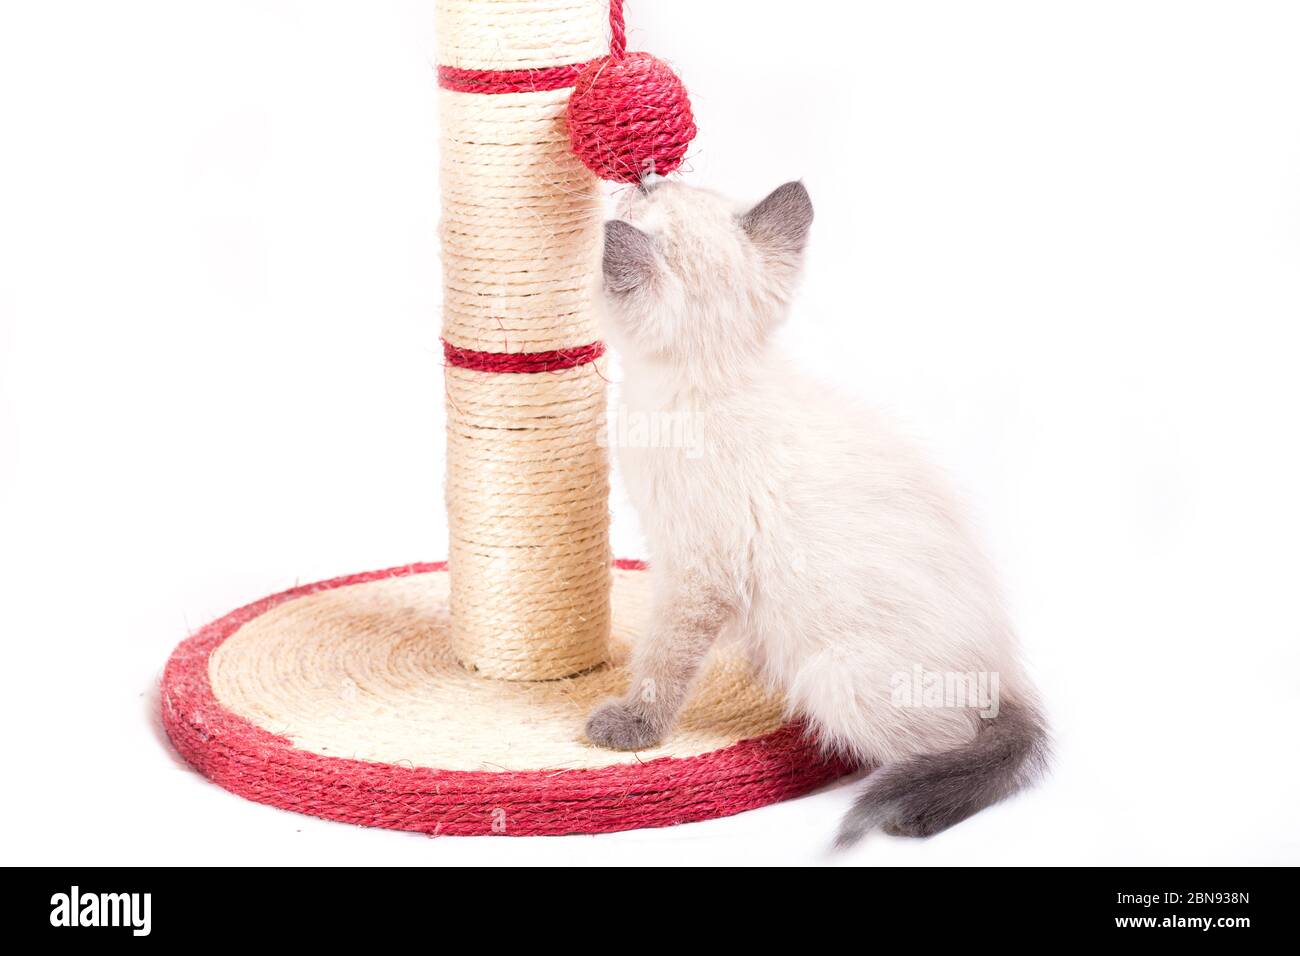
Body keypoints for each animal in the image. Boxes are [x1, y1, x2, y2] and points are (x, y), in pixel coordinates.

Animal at [585, 175, 1050, 842]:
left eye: (647, 204)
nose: (646, 178)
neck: (711, 381)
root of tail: (1004, 670)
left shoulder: (694, 574)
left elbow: (663, 658)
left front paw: (629, 726)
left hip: (836, 676)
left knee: (967, 742)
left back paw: (910, 805)